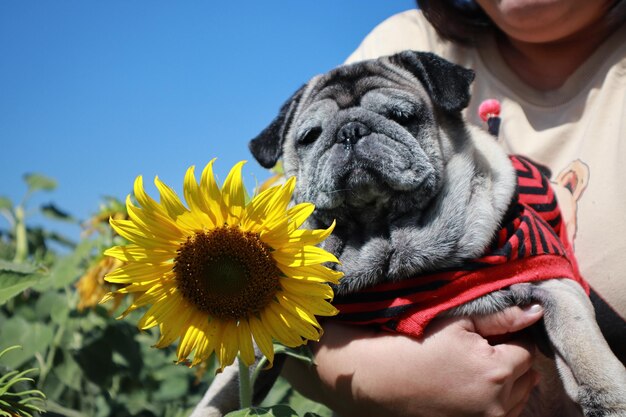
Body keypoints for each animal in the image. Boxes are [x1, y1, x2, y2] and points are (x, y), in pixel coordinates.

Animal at [191, 50, 624, 414]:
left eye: (402, 116)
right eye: (310, 136)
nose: (350, 131)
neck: (386, 245)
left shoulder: (554, 280)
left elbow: (584, 347)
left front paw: (609, 399)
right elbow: (232, 383)